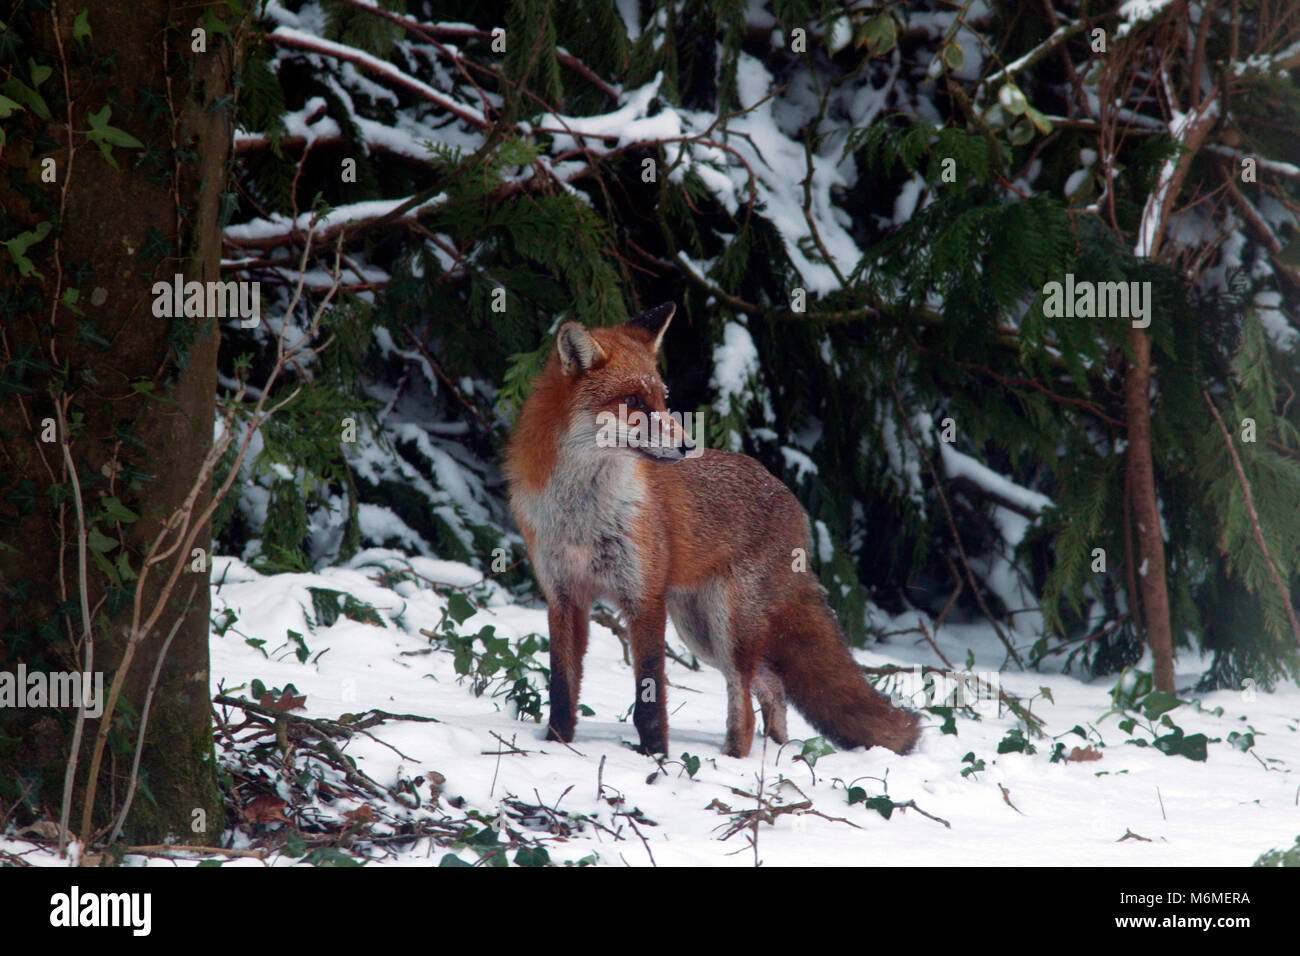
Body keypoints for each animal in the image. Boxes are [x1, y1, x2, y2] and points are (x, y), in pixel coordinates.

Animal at [501, 303, 920, 759]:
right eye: (632, 401)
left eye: (662, 399)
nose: (687, 445)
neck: (582, 514)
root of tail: (790, 498)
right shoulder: (563, 597)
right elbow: (562, 686)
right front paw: (558, 742)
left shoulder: (643, 599)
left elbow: (650, 696)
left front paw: (656, 756)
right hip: (700, 632)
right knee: (772, 686)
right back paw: (775, 749)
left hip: (726, 629)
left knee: (747, 702)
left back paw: (736, 757)